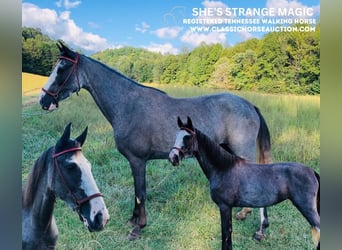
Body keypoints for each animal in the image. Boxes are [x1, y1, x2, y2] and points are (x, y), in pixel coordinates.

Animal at [38, 40, 272, 240]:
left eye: (62, 69)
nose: (43, 100)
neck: (128, 104)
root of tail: (250, 106)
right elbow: (137, 191)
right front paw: (132, 220)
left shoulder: (138, 160)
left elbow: (140, 192)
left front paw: (138, 227)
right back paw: (244, 213)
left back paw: (260, 230)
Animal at [168, 117, 320, 250]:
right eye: (176, 136)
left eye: (187, 138)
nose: (173, 158)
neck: (223, 168)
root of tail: (312, 171)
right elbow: (228, 232)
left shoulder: (224, 207)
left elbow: (225, 233)